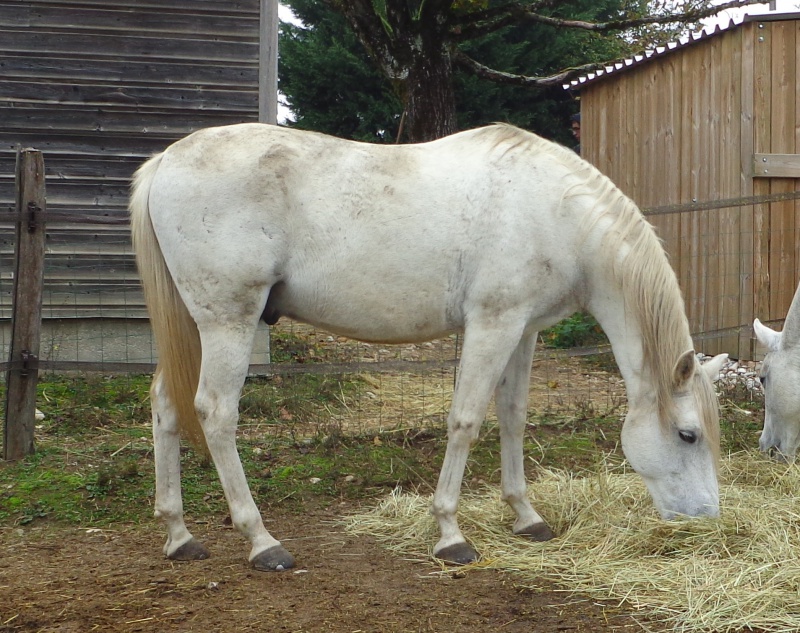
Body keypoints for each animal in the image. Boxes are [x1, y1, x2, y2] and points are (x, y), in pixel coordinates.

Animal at [131, 122, 732, 568]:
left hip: (192, 326)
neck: (557, 212)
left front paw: (526, 516)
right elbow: (466, 420)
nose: (705, 519)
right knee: (215, 413)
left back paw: (179, 535)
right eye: (688, 434)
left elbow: (513, 417)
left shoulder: (523, 329)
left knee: (165, 405)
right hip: (228, 322)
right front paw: (451, 533)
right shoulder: (492, 324)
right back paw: (262, 542)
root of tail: (166, 161)